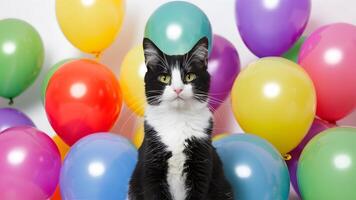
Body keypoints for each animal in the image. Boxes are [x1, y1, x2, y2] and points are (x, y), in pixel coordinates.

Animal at [128, 36, 234, 200]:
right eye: (164, 78)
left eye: (189, 76)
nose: (178, 89)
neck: (177, 120)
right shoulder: (151, 164)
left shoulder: (201, 162)